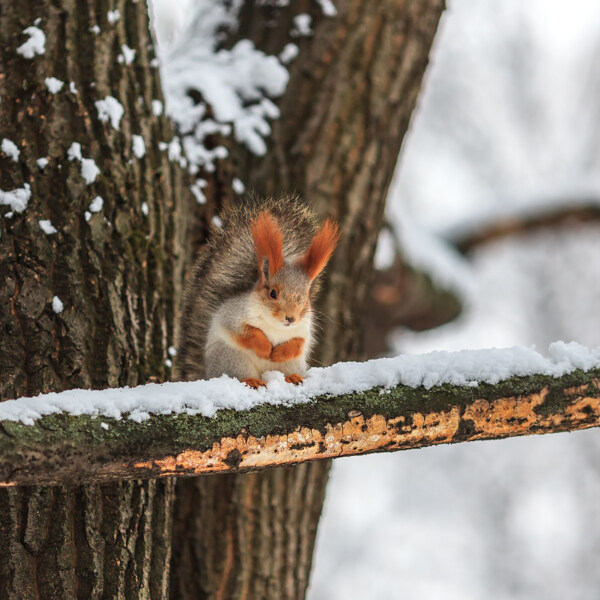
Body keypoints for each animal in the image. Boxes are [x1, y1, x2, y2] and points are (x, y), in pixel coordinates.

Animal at [176, 197, 340, 390]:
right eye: (273, 293)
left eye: (305, 298)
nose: (290, 318)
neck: (276, 325)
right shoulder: (234, 315)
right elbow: (246, 331)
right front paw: (265, 348)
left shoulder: (304, 328)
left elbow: (299, 343)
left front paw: (278, 353)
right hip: (232, 358)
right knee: (240, 374)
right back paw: (252, 380)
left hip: (293, 363)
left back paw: (292, 377)